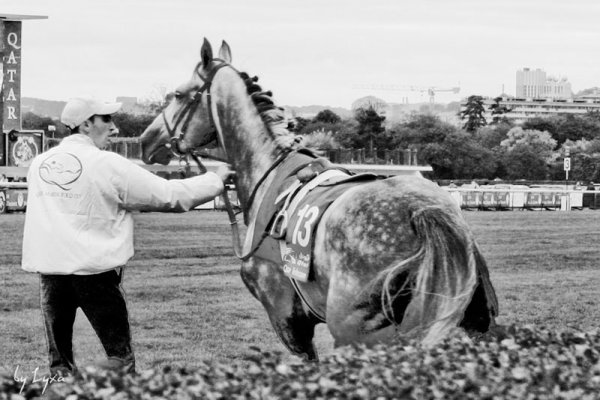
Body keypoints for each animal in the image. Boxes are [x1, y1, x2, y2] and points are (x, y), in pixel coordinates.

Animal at [139, 39, 496, 360]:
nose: (146, 139)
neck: (269, 169)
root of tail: (424, 211)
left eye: (178, 94)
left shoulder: (286, 317)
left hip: (356, 332)